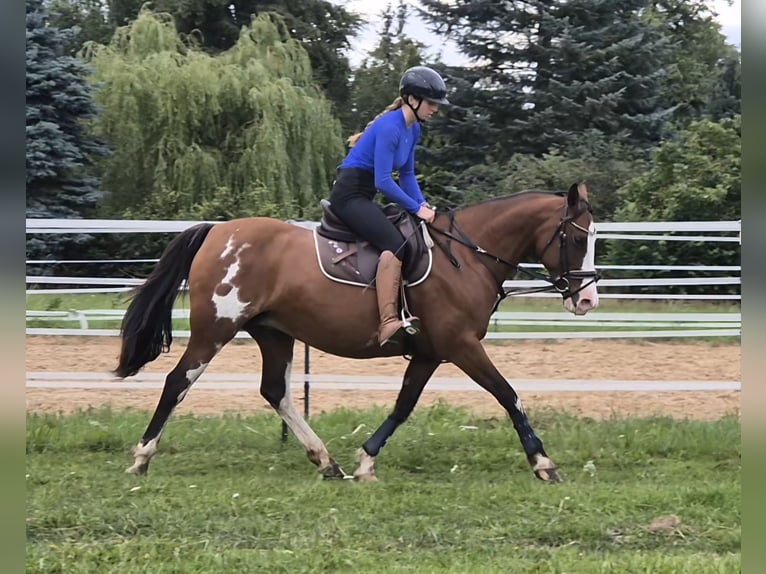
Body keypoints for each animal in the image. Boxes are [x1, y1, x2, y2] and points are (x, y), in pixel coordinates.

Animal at [115, 182, 599, 483]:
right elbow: (508, 394)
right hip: (215, 328)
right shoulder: (460, 345)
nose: (587, 300)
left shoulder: (430, 351)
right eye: (578, 240)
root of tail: (218, 231)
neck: (467, 256)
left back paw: (325, 461)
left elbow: (404, 405)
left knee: (276, 392)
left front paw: (366, 460)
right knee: (178, 382)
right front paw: (543, 463)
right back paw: (141, 458)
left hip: (274, 333)